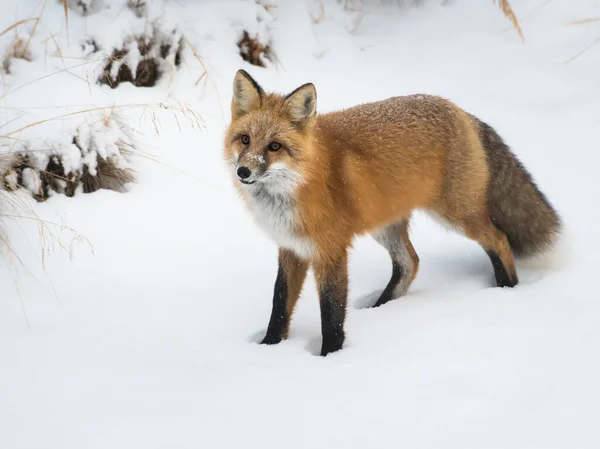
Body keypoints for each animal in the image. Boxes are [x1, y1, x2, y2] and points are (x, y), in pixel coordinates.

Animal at [223, 69, 560, 356]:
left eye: (275, 146)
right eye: (245, 140)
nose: (243, 172)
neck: (297, 184)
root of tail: (457, 109)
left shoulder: (330, 251)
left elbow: (331, 314)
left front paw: (330, 357)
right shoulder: (291, 248)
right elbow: (279, 304)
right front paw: (267, 349)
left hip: (457, 215)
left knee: (499, 239)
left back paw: (507, 290)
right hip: (384, 226)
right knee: (410, 262)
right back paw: (381, 307)